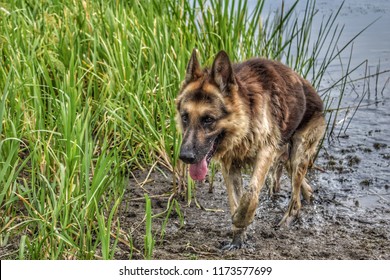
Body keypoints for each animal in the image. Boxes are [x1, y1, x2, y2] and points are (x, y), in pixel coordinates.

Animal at [175, 49, 324, 249]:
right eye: (185, 117)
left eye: (208, 119)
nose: (186, 157)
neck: (245, 122)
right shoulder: (230, 163)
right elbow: (235, 199)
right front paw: (238, 238)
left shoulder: (265, 152)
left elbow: (250, 194)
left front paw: (240, 219)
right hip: (287, 157)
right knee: (302, 187)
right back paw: (309, 196)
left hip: (298, 152)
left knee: (295, 200)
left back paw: (287, 220)